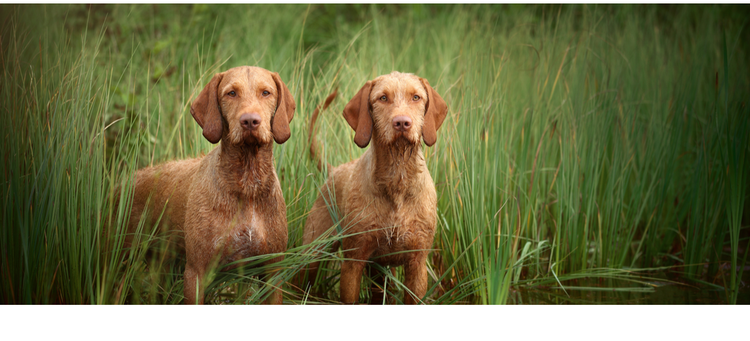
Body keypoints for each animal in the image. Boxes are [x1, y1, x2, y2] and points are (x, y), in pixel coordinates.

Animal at [122, 66, 294, 302]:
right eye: (231, 93)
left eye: (266, 92)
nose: (250, 121)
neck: (246, 184)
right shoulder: (196, 272)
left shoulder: (272, 272)